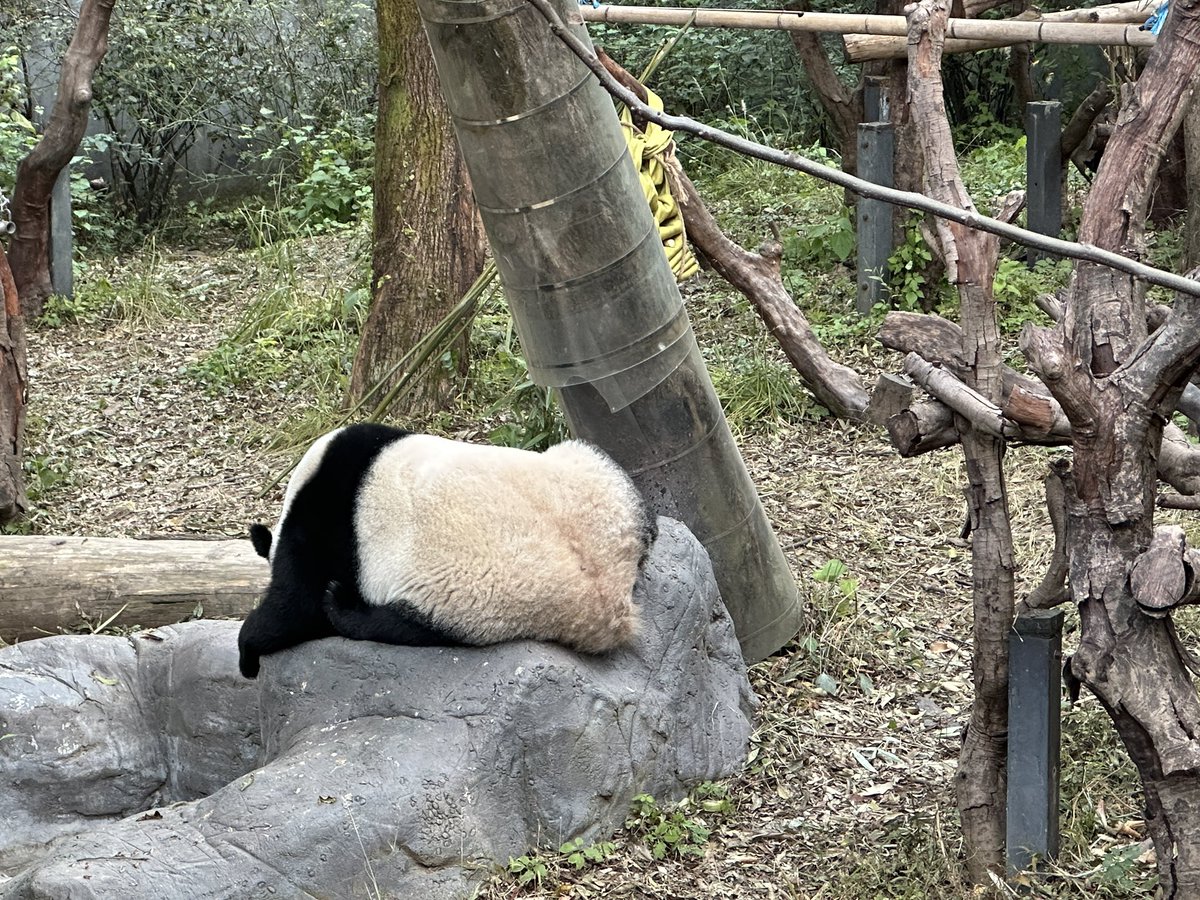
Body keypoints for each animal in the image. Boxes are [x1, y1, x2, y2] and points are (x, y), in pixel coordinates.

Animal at [237, 423, 657, 678]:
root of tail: (607, 596)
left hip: (465, 595)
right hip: (596, 482)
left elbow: (295, 605)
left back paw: (342, 605)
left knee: (397, 625)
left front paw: (248, 655)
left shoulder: (321, 524)